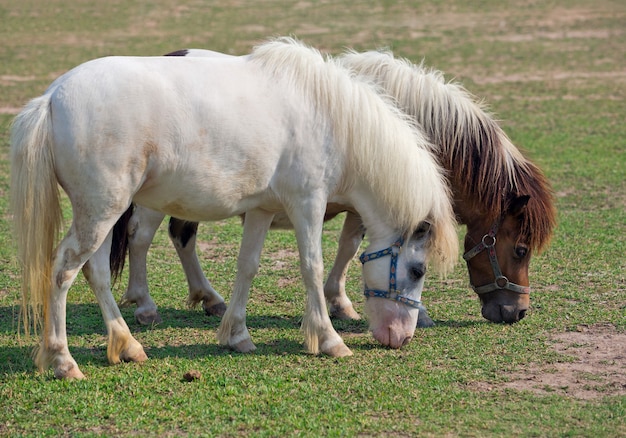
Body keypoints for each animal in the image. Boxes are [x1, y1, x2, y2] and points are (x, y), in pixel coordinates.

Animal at [12, 37, 456, 378]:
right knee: (64, 270)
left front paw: (237, 335)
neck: (331, 118)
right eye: (418, 270)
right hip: (102, 211)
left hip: (103, 214)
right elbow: (311, 267)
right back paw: (63, 361)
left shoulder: (262, 210)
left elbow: (248, 266)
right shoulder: (308, 203)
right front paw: (329, 339)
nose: (402, 337)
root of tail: (51, 98)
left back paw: (128, 344)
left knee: (98, 272)